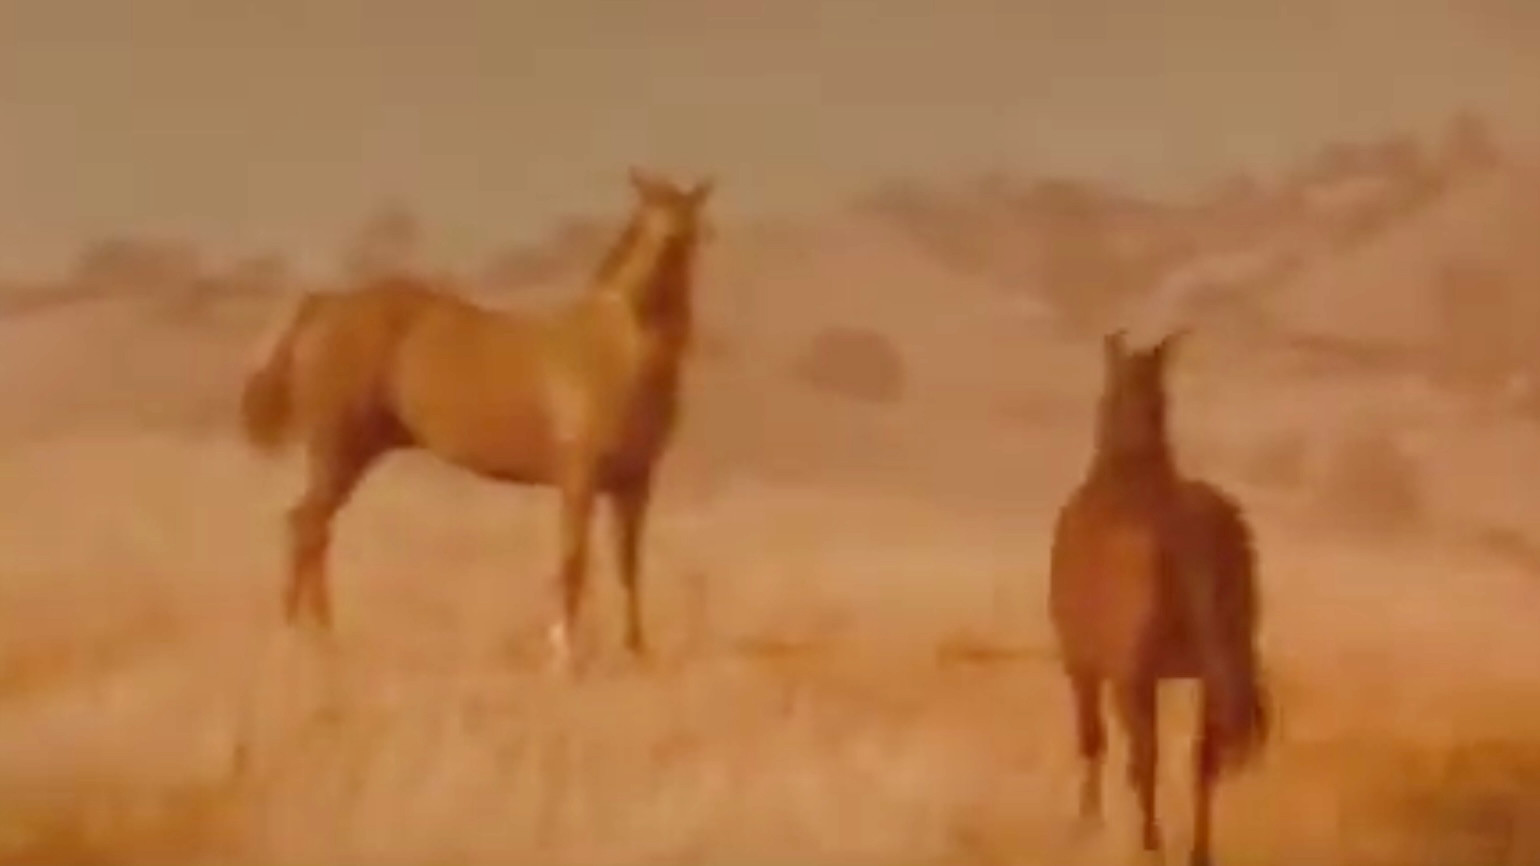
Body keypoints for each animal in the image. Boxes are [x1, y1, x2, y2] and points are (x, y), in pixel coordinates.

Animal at [239, 168, 713, 673]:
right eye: (648, 215)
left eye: (691, 217)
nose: (672, 242)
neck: (615, 353)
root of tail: (322, 305)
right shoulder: (578, 477)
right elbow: (572, 561)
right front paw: (563, 657)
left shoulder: (635, 482)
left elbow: (628, 566)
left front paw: (636, 650)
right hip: (338, 450)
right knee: (305, 526)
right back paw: (300, 639)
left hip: (353, 453)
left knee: (314, 529)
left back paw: (321, 639)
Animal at [1048, 329, 1271, 866]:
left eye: (1104, 393)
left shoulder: (1083, 664)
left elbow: (1094, 742)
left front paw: (1087, 824)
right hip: (1214, 670)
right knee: (1204, 759)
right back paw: (1197, 851)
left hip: (1135, 675)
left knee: (1144, 758)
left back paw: (1151, 844)